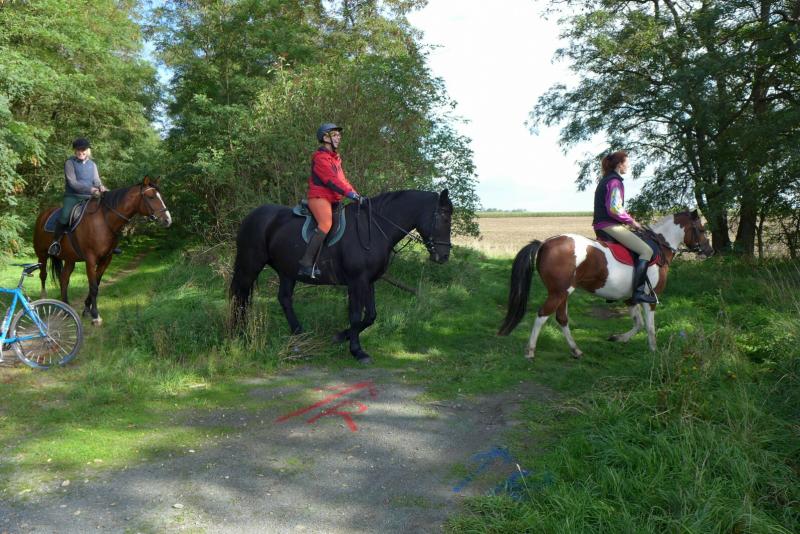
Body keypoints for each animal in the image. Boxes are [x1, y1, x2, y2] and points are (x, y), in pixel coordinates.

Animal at [33, 177, 172, 325]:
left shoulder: (106, 259)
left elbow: (96, 284)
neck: (104, 221)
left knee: (64, 278)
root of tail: (43, 215)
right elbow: (93, 286)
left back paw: (66, 308)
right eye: (151, 197)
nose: (167, 220)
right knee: (43, 275)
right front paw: (95, 315)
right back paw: (43, 299)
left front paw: (86, 309)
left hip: (70, 259)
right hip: (42, 255)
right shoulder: (90, 259)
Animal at [229, 189, 453, 364]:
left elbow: (370, 316)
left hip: (286, 271)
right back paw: (239, 333)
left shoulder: (369, 281)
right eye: (444, 217)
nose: (443, 256)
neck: (374, 228)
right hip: (250, 264)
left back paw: (299, 333)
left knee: (283, 299)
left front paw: (340, 336)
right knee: (240, 296)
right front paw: (357, 351)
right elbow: (355, 315)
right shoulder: (356, 281)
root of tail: (252, 216)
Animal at [497, 210, 714, 359]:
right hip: (558, 292)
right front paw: (654, 352)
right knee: (542, 316)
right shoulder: (649, 299)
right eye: (702, 229)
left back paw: (576, 350)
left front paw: (618, 338)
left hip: (564, 293)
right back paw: (530, 351)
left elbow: (639, 324)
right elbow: (650, 327)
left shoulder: (631, 299)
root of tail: (544, 243)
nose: (709, 251)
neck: (659, 247)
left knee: (562, 318)